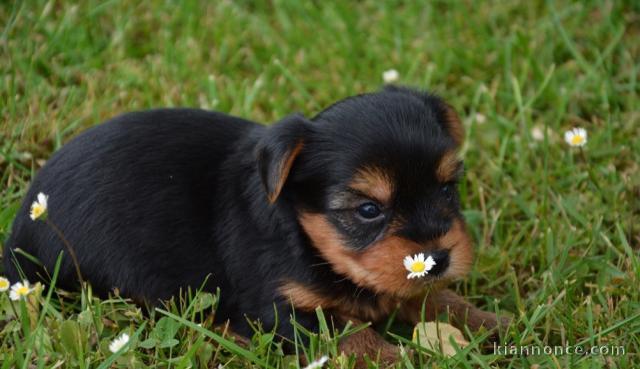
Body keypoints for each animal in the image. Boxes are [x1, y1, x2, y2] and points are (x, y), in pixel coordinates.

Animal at [3, 85, 504, 362]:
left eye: (447, 189)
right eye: (367, 210)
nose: (437, 257)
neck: (305, 237)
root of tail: (21, 226)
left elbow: (435, 299)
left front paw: (490, 323)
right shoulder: (278, 309)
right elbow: (350, 334)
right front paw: (397, 358)